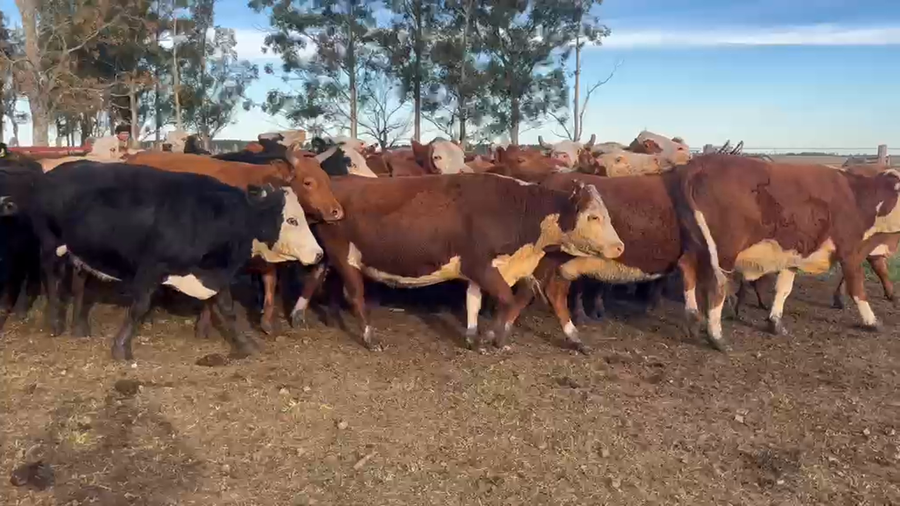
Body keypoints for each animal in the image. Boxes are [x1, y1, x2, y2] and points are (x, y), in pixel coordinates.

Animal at [3, 161, 323, 360]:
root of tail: (50, 175)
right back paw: (54, 323)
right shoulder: (151, 268)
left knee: (81, 284)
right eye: (292, 220)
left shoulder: (214, 275)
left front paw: (247, 345)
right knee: (52, 279)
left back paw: (80, 329)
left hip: (81, 251)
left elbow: (228, 311)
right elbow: (139, 307)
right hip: (50, 245)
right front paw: (121, 348)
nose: (319, 254)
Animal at [288, 173, 625, 352]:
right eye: (594, 217)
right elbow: (506, 299)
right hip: (344, 254)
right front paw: (497, 338)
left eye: (607, 215)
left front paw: (474, 335)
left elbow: (473, 301)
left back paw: (298, 315)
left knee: (314, 276)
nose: (619, 247)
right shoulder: (483, 267)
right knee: (355, 294)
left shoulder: (478, 270)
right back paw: (370, 337)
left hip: (329, 253)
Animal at [677, 154, 900, 351]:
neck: (858, 197)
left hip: (696, 244)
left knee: (687, 268)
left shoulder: (794, 254)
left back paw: (693, 318)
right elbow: (858, 289)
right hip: (724, 253)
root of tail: (702, 162)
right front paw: (872, 322)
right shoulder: (850, 253)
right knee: (716, 287)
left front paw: (775, 322)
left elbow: (783, 289)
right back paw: (716, 337)